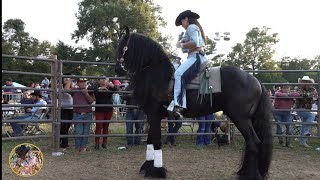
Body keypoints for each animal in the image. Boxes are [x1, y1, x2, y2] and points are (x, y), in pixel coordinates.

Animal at [115, 28, 272, 179]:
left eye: (123, 46)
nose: (117, 68)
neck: (158, 75)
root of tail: (256, 81)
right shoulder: (153, 117)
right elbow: (150, 141)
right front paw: (147, 167)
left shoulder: (154, 115)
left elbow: (156, 142)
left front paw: (157, 172)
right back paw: (245, 172)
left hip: (241, 119)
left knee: (253, 143)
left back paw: (250, 175)